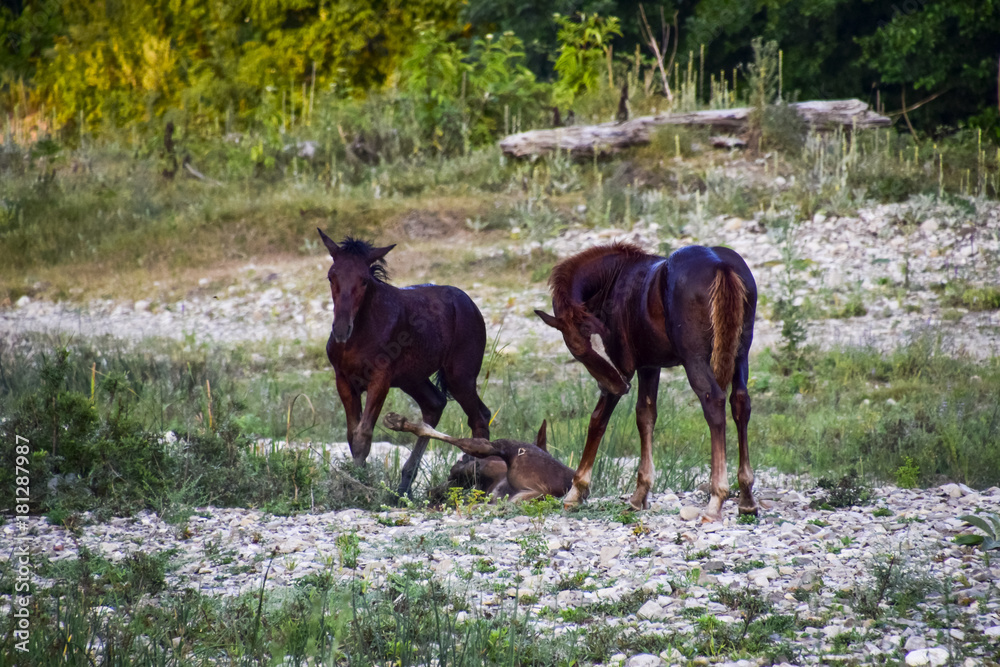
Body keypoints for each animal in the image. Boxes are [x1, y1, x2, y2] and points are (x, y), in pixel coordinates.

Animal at [320, 230, 492, 496]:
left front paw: (359, 487)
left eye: (364, 280)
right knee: (435, 404)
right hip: (412, 378)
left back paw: (473, 481)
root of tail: (471, 306)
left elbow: (363, 434)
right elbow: (351, 434)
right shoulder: (344, 379)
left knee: (479, 418)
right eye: (331, 276)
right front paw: (357, 480)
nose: (340, 329)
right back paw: (403, 487)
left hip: (460, 376)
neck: (360, 333)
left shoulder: (380, 378)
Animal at [540, 244, 756, 520]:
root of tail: (721, 265)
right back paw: (747, 498)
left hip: (695, 359)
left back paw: (716, 499)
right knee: (740, 403)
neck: (616, 278)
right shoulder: (649, 365)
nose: (620, 386)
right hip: (741, 353)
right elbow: (646, 415)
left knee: (714, 401)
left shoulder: (627, 367)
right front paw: (640, 494)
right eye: (578, 349)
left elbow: (598, 421)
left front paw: (577, 491)